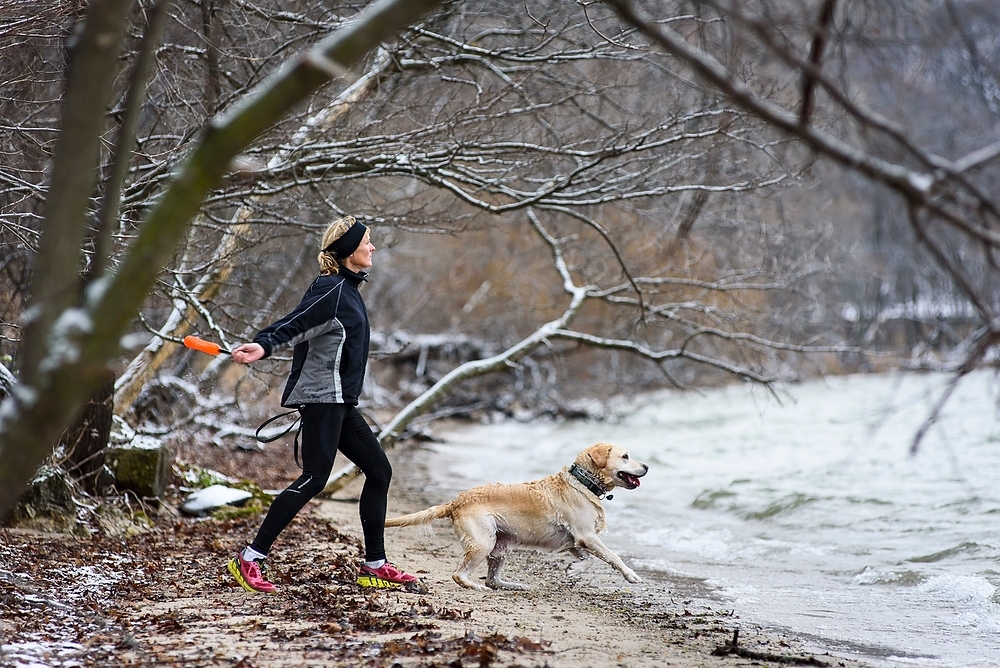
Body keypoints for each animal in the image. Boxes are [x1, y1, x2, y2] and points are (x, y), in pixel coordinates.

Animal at [382, 444, 648, 588]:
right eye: (625, 456)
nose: (646, 466)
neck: (583, 482)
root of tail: (458, 500)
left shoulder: (576, 541)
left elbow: (588, 559)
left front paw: (574, 569)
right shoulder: (587, 536)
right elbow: (613, 556)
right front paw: (631, 575)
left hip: (499, 546)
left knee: (492, 579)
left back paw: (512, 585)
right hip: (483, 541)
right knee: (460, 574)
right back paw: (475, 586)